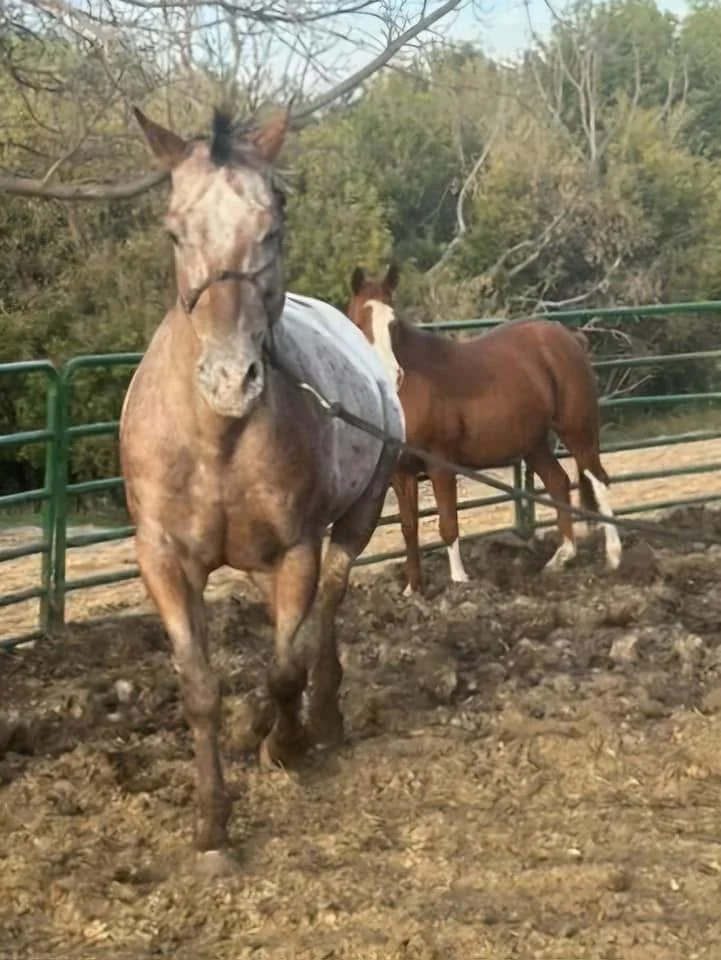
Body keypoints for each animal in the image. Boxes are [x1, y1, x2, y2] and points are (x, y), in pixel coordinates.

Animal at [119, 108, 404, 875]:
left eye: (272, 224)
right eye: (174, 230)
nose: (229, 379)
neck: (216, 437)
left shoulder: (297, 547)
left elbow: (284, 666)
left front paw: (287, 739)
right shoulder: (164, 559)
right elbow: (200, 687)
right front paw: (213, 825)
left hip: (358, 517)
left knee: (323, 610)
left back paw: (318, 719)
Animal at [346, 263, 622, 595]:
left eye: (393, 324)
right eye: (359, 322)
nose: (391, 375)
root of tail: (569, 337)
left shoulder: (441, 465)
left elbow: (448, 524)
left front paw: (459, 580)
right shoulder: (401, 473)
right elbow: (409, 528)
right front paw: (413, 589)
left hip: (577, 430)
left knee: (598, 479)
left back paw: (614, 556)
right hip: (533, 443)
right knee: (558, 482)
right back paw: (563, 556)